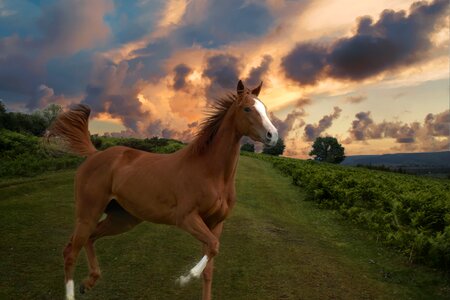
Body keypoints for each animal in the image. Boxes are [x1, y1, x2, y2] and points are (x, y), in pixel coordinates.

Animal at [49, 79, 280, 300]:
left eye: (264, 107)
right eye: (247, 109)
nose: (273, 136)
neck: (211, 172)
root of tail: (95, 154)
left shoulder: (215, 223)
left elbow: (210, 266)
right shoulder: (186, 218)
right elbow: (214, 247)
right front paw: (184, 278)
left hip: (122, 219)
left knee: (89, 239)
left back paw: (87, 284)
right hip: (88, 213)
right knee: (70, 252)